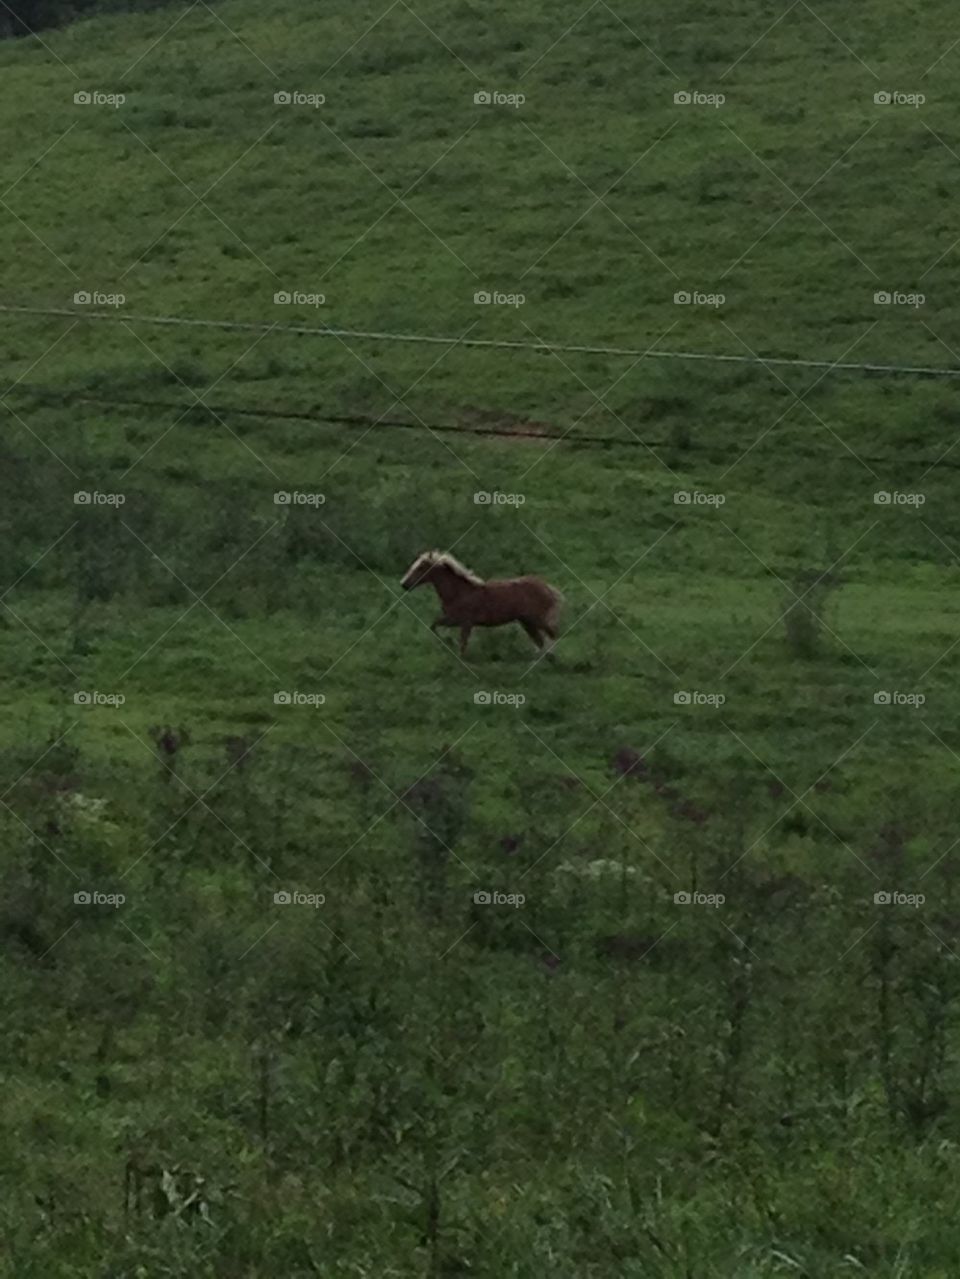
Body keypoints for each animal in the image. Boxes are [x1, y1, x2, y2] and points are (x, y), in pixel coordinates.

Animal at [401, 550, 563, 657]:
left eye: (420, 567)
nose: (404, 584)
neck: (458, 591)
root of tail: (547, 588)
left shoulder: (465, 622)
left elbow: (462, 643)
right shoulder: (453, 620)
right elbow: (434, 625)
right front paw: (447, 642)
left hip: (535, 619)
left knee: (552, 633)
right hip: (526, 622)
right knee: (540, 640)